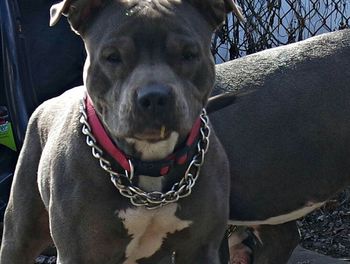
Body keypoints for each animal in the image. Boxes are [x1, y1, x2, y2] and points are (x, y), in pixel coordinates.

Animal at [0, 0, 243, 264]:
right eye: (112, 56)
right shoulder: (78, 253)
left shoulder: (201, 248)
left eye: (189, 54)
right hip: (19, 233)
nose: (154, 97)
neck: (150, 165)